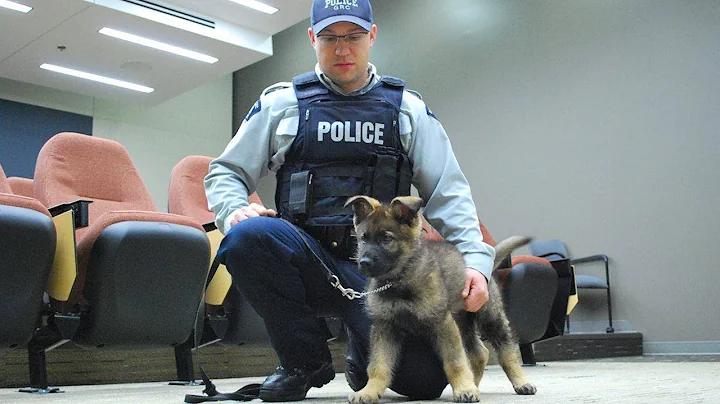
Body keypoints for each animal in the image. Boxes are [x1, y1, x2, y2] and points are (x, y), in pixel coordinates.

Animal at [346, 196, 536, 404]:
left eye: (387, 238)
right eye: (364, 238)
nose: (364, 263)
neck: (398, 281)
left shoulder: (442, 323)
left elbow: (455, 361)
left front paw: (463, 388)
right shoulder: (384, 326)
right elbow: (378, 365)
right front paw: (369, 391)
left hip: (489, 317)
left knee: (507, 353)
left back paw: (520, 382)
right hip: (462, 322)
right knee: (480, 353)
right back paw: (474, 384)